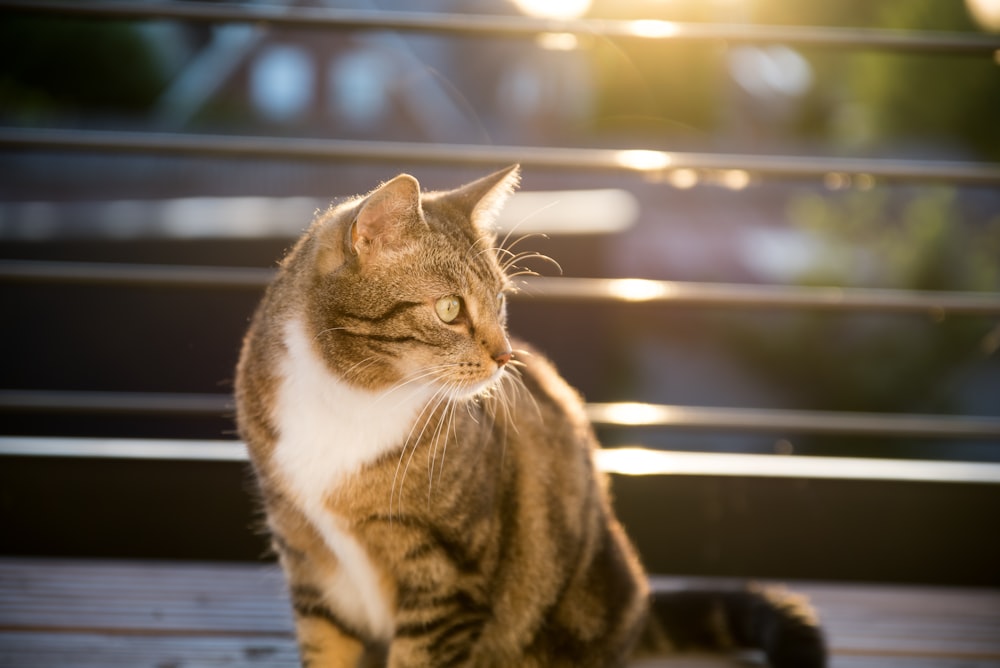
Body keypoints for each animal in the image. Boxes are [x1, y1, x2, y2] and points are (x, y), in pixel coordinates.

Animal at [236, 163, 828, 668]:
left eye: (499, 301)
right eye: (449, 309)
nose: (505, 356)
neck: (351, 394)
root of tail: (637, 611)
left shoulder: (448, 576)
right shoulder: (307, 559)